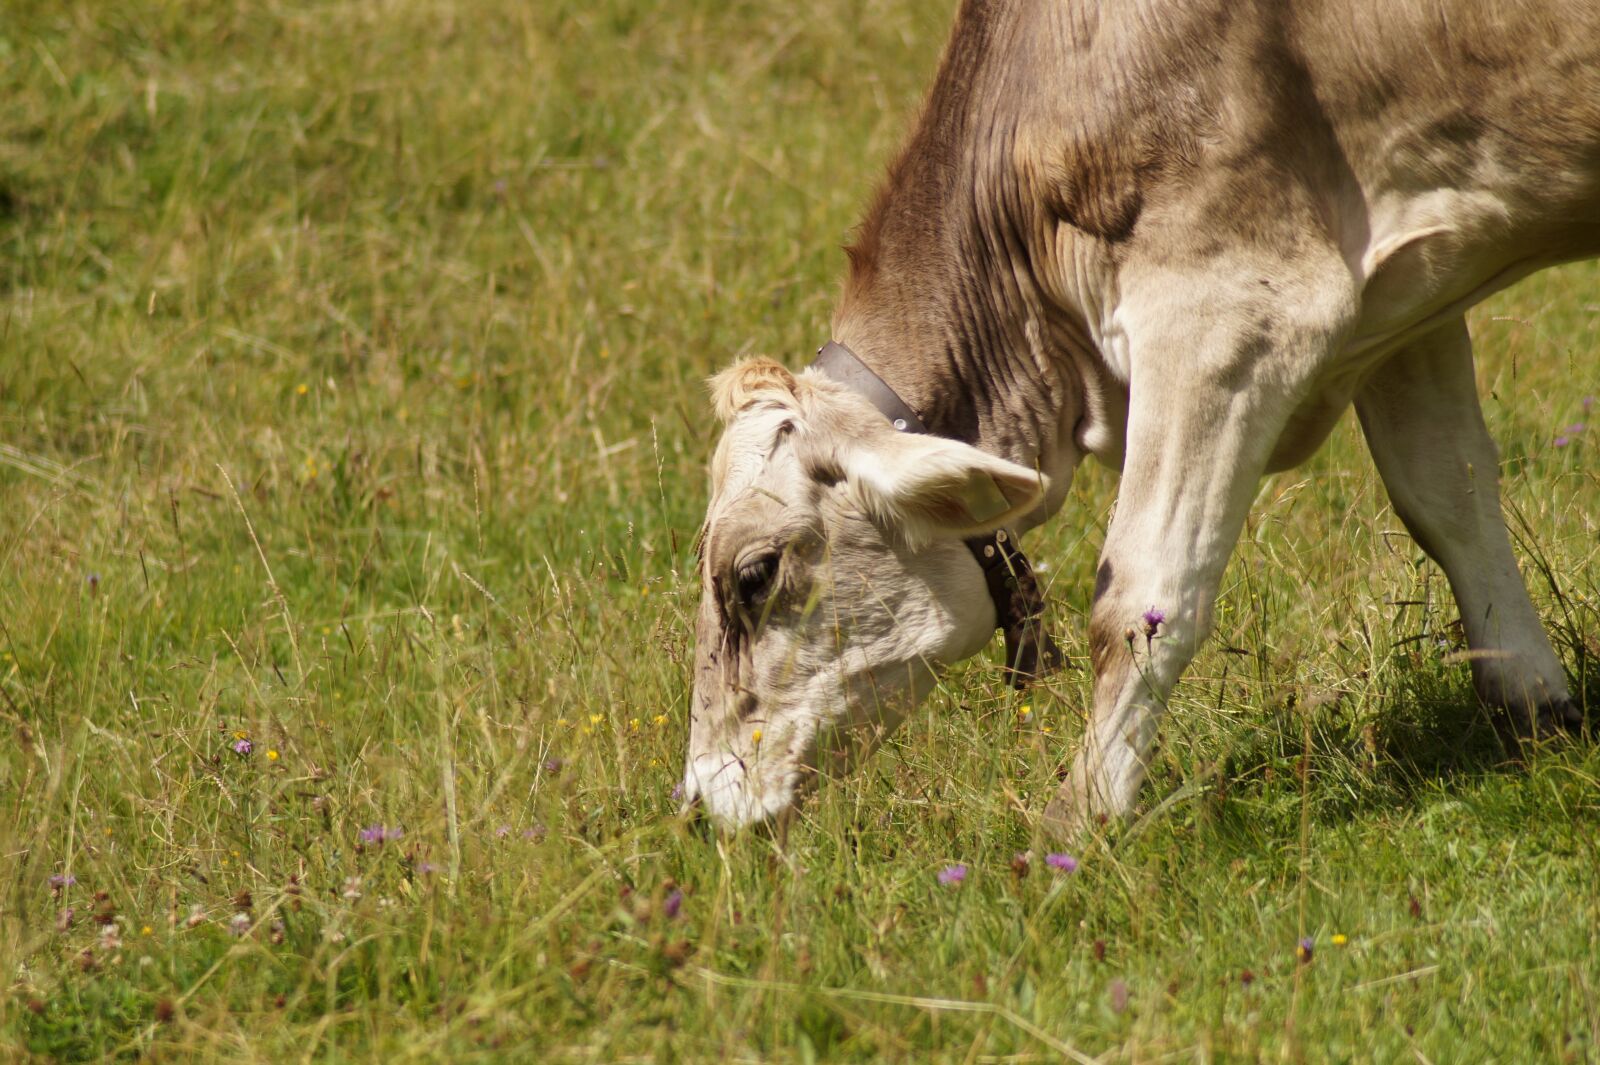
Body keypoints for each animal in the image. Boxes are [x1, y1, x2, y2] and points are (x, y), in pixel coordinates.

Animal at [681, 0, 1600, 835]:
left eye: (753, 574)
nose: (695, 803)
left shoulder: (1231, 310)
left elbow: (1143, 591)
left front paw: (1078, 821)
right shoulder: (1410, 293)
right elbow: (1450, 498)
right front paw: (1538, 712)